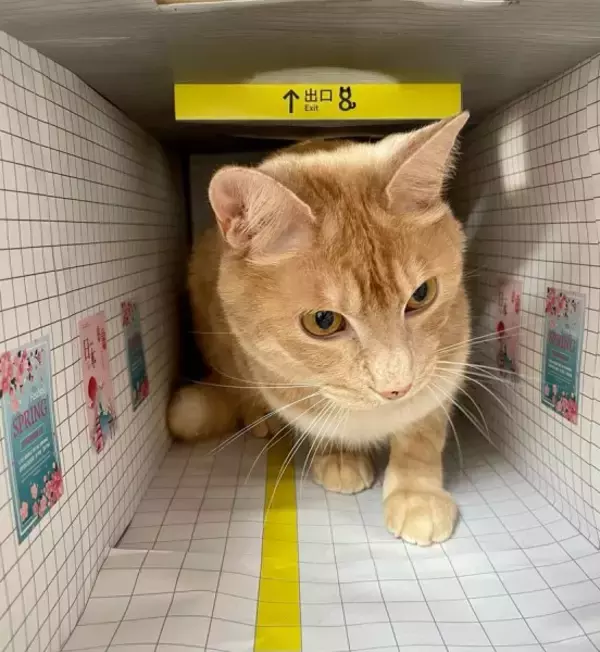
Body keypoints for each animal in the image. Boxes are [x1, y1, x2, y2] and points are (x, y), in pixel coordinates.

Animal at [168, 112, 471, 546]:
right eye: (323, 321)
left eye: (422, 294)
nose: (395, 388)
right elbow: (320, 416)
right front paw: (339, 454)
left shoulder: (448, 361)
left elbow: (422, 431)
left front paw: (417, 493)